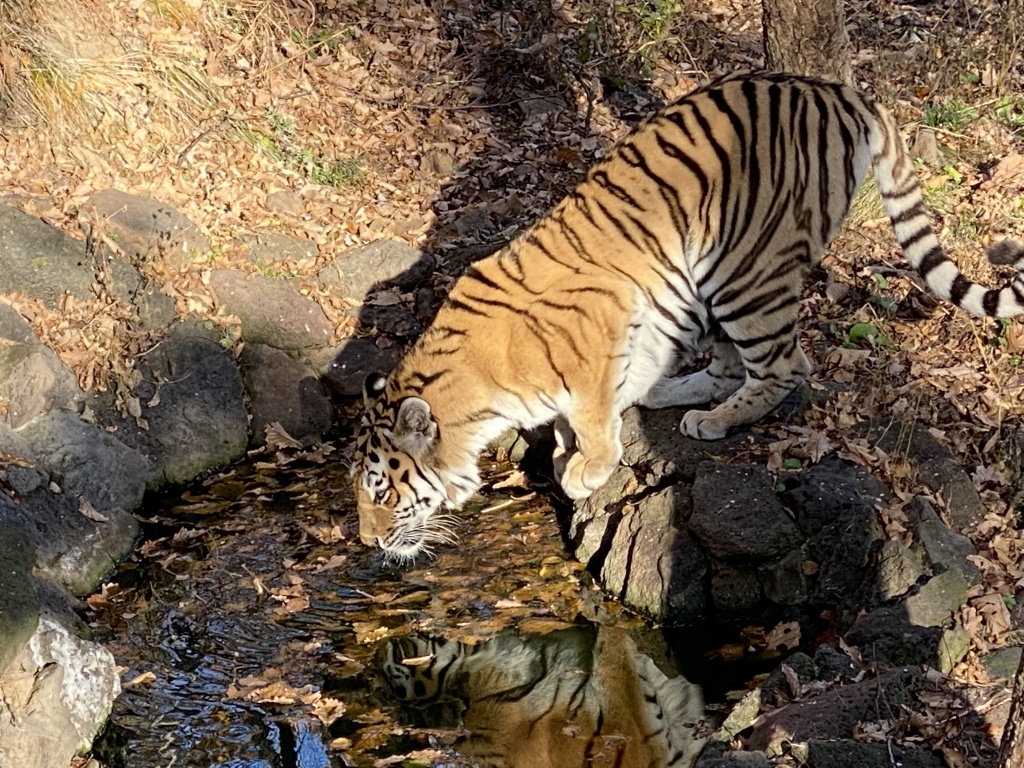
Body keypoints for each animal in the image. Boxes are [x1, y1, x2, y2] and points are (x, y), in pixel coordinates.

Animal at [350, 70, 1024, 561]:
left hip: (745, 272)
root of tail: (838, 89)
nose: (366, 540)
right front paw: (572, 450)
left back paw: (715, 421)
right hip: (708, 280)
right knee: (727, 367)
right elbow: (582, 409)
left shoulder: (604, 320)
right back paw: (672, 396)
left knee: (786, 365)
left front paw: (587, 468)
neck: (478, 394)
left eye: (381, 489)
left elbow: (590, 412)